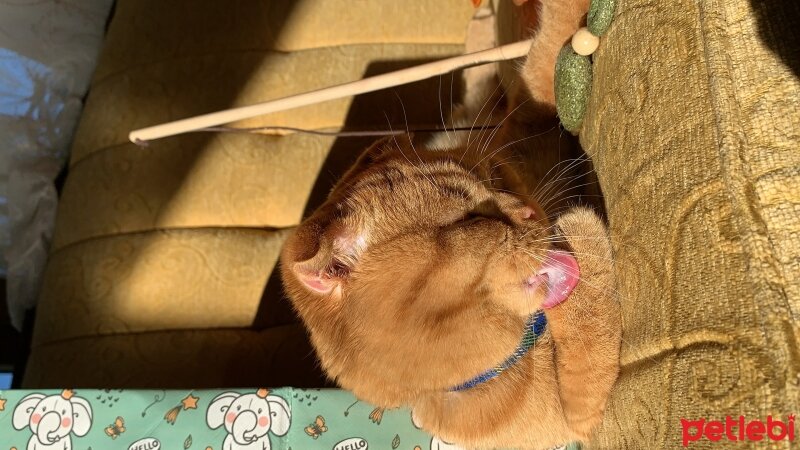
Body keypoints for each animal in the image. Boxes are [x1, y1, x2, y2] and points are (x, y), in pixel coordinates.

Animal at [278, 1, 620, 448]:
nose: (530, 213)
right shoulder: (577, 416)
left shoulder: (531, 120)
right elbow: (588, 334)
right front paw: (579, 232)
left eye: (496, 178)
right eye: (470, 220)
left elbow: (543, 63)